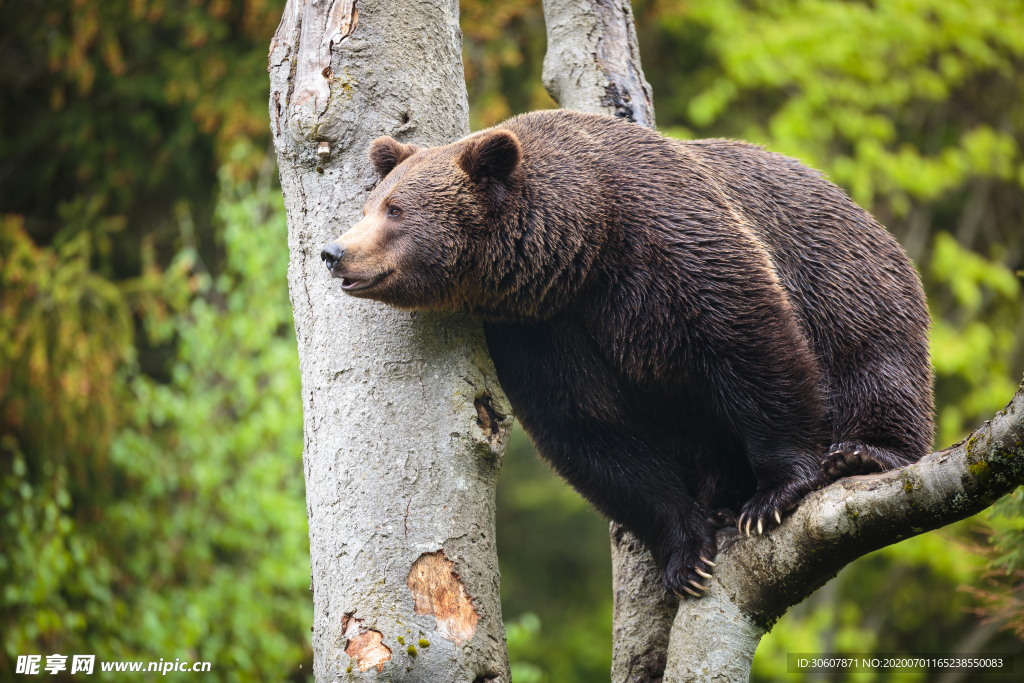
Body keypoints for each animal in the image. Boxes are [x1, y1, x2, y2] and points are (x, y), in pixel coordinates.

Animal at [321, 111, 937, 598]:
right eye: (372, 203)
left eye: (396, 209)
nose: (334, 252)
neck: (583, 242)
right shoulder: (541, 328)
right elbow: (593, 431)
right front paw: (687, 554)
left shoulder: (671, 246)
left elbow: (751, 347)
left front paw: (774, 496)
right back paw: (720, 494)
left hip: (847, 281)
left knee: (875, 364)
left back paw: (861, 453)